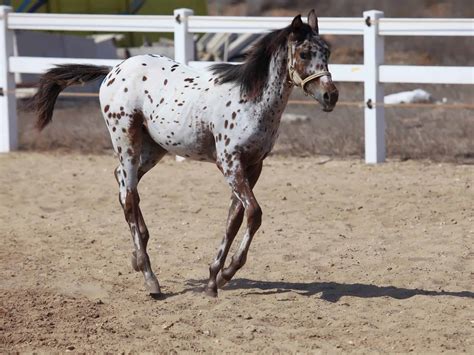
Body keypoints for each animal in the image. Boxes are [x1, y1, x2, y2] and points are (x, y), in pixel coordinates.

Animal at [31, 9, 336, 298]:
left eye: (327, 52)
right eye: (305, 53)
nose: (331, 95)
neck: (250, 100)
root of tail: (114, 68)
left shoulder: (253, 166)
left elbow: (234, 219)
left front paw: (214, 279)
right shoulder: (230, 164)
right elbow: (254, 214)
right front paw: (227, 272)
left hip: (153, 149)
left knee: (124, 183)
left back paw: (138, 253)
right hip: (125, 139)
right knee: (128, 195)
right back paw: (149, 277)